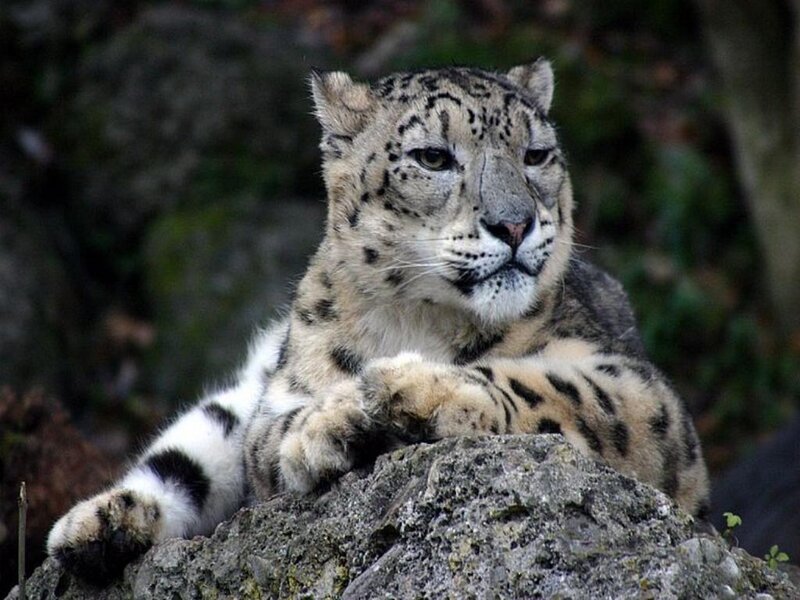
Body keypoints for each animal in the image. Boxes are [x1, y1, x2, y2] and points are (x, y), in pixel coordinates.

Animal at [47, 59, 710, 584]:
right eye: (434, 157)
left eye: (536, 155)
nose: (515, 223)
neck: (419, 319)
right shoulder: (280, 397)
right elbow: (269, 439)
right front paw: (335, 421)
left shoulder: (644, 392)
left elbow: (560, 388)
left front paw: (412, 388)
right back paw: (93, 529)